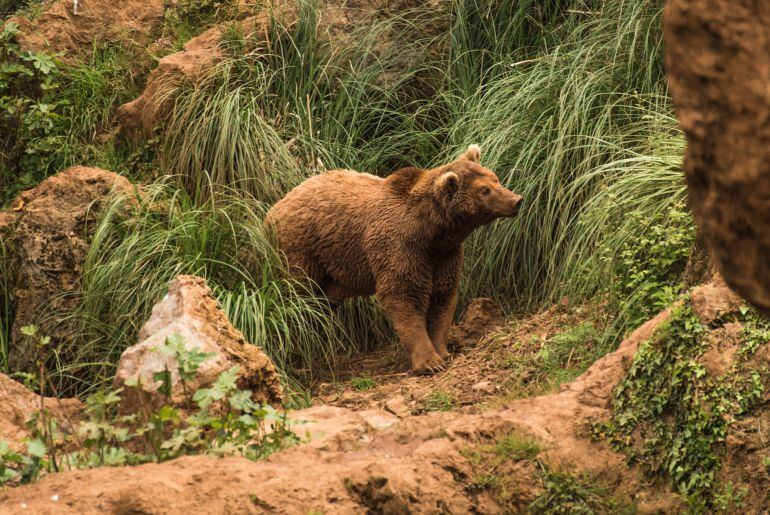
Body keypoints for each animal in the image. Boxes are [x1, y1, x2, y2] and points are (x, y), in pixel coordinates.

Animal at [264, 145, 520, 374]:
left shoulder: (444, 255)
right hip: (301, 250)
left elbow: (443, 296)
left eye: (496, 179)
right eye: (485, 190)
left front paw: (442, 350)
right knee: (296, 296)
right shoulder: (400, 248)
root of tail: (273, 208)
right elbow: (403, 294)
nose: (517, 200)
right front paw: (429, 362)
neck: (431, 230)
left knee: (319, 305)